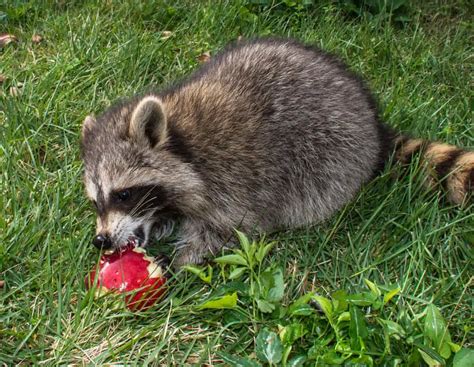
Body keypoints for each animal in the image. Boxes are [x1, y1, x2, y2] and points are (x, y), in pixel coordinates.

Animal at [79, 38, 472, 268]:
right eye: (96, 201)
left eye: (124, 194)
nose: (101, 241)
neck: (182, 139)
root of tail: (374, 122)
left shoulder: (232, 180)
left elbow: (227, 230)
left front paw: (180, 262)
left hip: (334, 155)